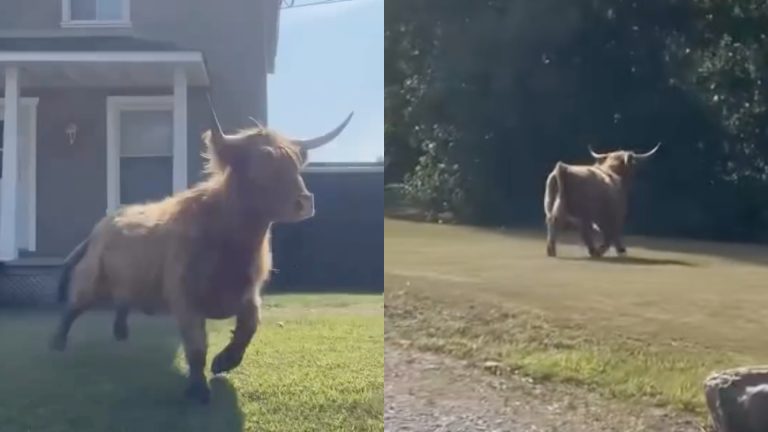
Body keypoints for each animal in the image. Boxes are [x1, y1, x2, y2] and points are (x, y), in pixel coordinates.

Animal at [48, 99, 353, 404]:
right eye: (261, 165)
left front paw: (225, 362)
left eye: (296, 164)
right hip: (92, 279)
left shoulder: (248, 292)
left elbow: (250, 324)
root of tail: (101, 226)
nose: (305, 202)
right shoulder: (185, 296)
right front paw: (198, 389)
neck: (232, 244)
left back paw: (120, 333)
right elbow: (196, 344)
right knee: (74, 305)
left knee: (122, 301)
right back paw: (58, 343)